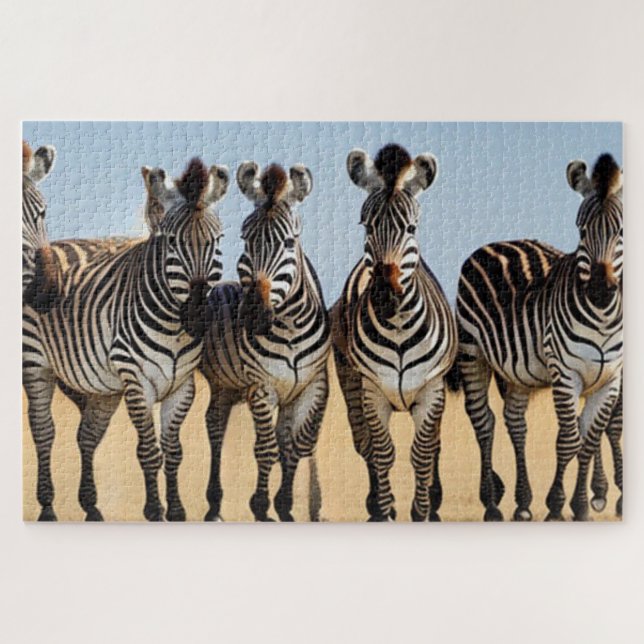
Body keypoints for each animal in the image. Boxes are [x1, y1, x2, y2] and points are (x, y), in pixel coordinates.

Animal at [23, 157, 229, 521]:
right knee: (44, 432)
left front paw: (177, 510)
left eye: (217, 240)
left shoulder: (182, 386)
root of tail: (54, 244)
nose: (196, 315)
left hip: (102, 386)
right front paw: (154, 510)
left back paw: (91, 507)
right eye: (172, 242)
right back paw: (47, 507)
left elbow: (174, 451)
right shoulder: (137, 383)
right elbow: (149, 451)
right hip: (36, 364)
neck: (173, 327)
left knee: (87, 436)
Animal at [200, 162, 331, 522]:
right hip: (223, 383)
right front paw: (260, 506)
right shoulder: (262, 387)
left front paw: (284, 505)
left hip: (232, 388)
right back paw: (214, 504)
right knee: (215, 429)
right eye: (246, 239)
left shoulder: (312, 387)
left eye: (287, 242)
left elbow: (295, 446)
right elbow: (266, 449)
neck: (290, 327)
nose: (254, 315)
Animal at [331, 144, 457, 522]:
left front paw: (423, 511)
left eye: (411, 227)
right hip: (349, 382)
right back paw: (373, 505)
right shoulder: (372, 392)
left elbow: (423, 453)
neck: (399, 328)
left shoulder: (432, 391)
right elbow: (382, 452)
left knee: (435, 446)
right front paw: (385, 510)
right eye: (366, 225)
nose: (385, 296)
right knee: (364, 445)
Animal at [454, 153, 623, 521]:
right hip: (473, 353)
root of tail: (494, 243)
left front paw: (582, 505)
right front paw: (558, 505)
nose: (600, 291)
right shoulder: (566, 373)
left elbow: (591, 438)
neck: (603, 318)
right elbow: (569, 440)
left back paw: (522, 503)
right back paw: (492, 504)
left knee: (516, 424)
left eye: (621, 231)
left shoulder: (611, 379)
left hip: (518, 371)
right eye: (581, 230)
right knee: (483, 422)